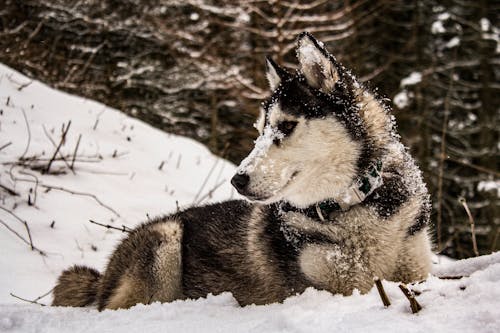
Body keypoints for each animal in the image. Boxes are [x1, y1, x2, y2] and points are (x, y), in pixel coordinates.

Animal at [51, 32, 434, 310]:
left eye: (286, 126)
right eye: (259, 130)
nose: (237, 180)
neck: (352, 204)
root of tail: (103, 275)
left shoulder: (415, 269)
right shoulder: (328, 287)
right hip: (165, 238)